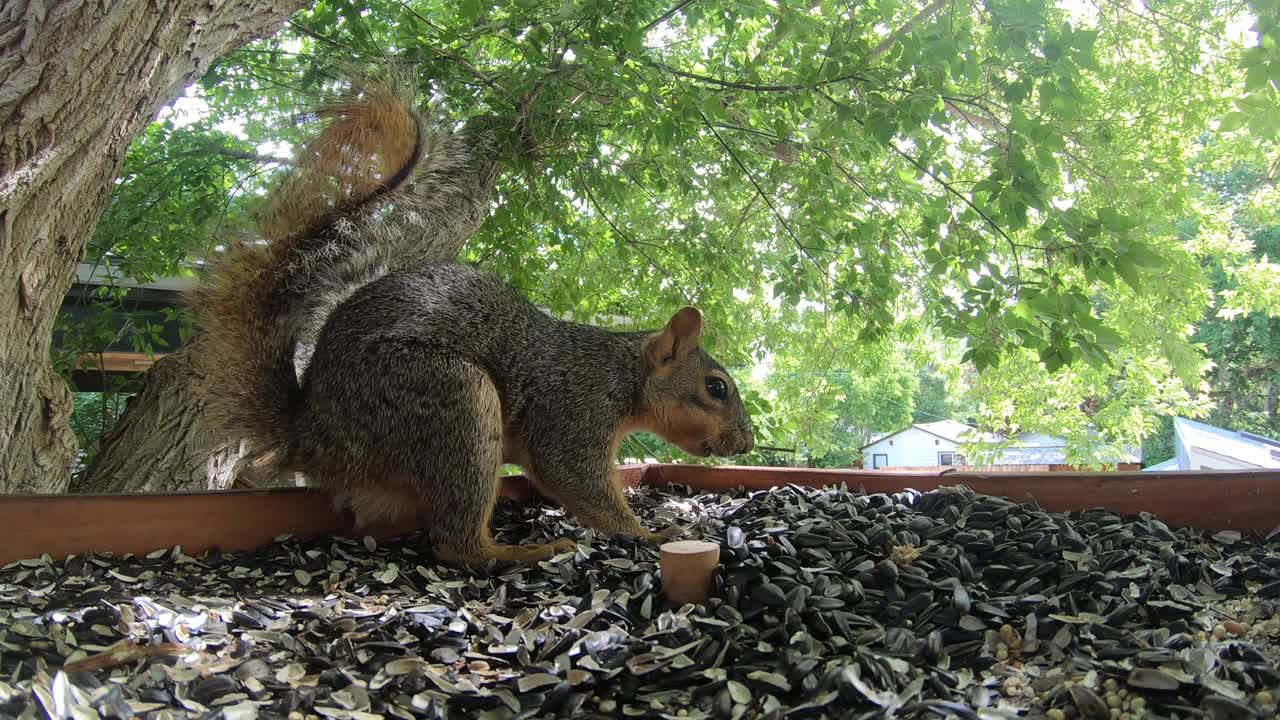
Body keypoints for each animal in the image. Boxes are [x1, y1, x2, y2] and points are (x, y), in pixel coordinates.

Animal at [194, 67, 752, 563]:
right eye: (716, 388)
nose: (746, 443)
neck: (621, 372)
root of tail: (312, 437)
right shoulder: (575, 409)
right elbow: (575, 479)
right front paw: (652, 534)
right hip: (450, 397)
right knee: (457, 547)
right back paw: (518, 552)